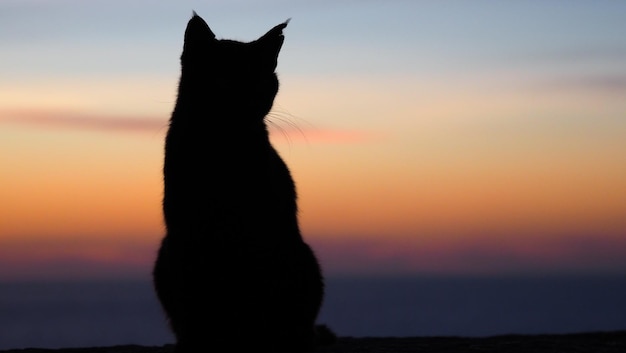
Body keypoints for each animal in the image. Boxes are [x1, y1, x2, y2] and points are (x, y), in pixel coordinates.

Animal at [151, 12, 332, 350]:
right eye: (224, 79)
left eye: (260, 82)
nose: (245, 100)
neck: (225, 148)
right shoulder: (188, 229)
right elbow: (195, 297)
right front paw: (197, 338)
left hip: (303, 258)